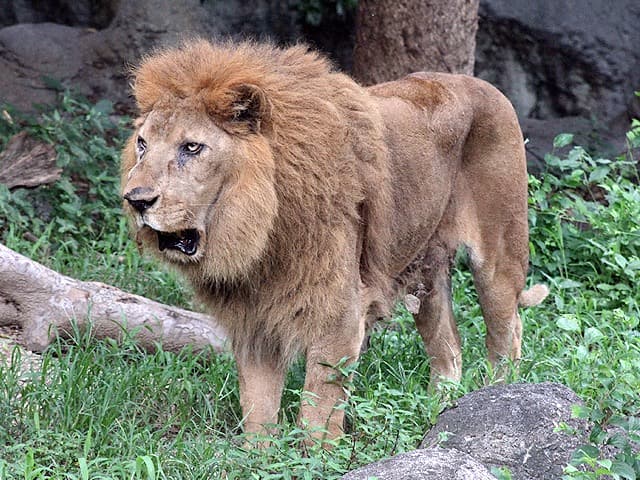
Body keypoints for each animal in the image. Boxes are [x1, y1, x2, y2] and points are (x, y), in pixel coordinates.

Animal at [122, 39, 548, 440]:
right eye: (142, 144)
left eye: (192, 147)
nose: (136, 200)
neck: (259, 232)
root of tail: (482, 84)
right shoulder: (254, 322)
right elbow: (257, 411)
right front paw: (258, 459)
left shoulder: (340, 317)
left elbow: (318, 413)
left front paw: (317, 458)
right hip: (425, 273)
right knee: (449, 351)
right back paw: (441, 413)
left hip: (498, 257)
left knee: (507, 336)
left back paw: (496, 402)